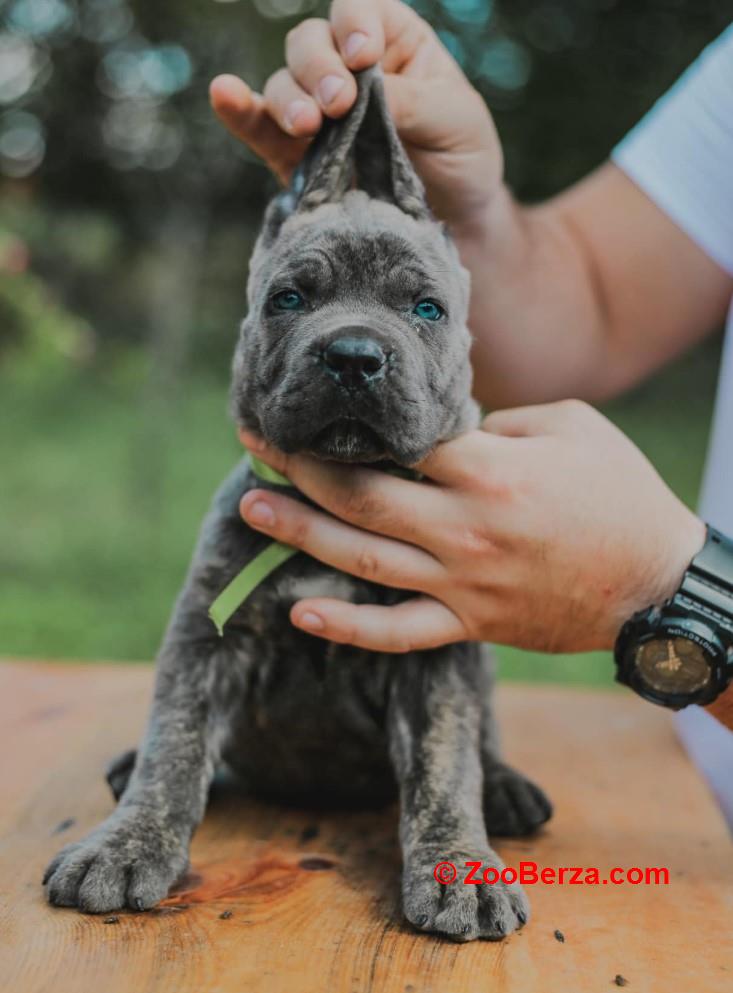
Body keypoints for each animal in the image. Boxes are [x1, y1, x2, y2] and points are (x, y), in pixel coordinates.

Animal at [44, 68, 548, 936]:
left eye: (425, 310)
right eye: (288, 298)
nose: (353, 355)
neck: (340, 503)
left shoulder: (434, 655)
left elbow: (446, 768)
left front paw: (459, 865)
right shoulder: (206, 638)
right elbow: (174, 748)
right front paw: (123, 844)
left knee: (484, 734)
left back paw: (507, 786)